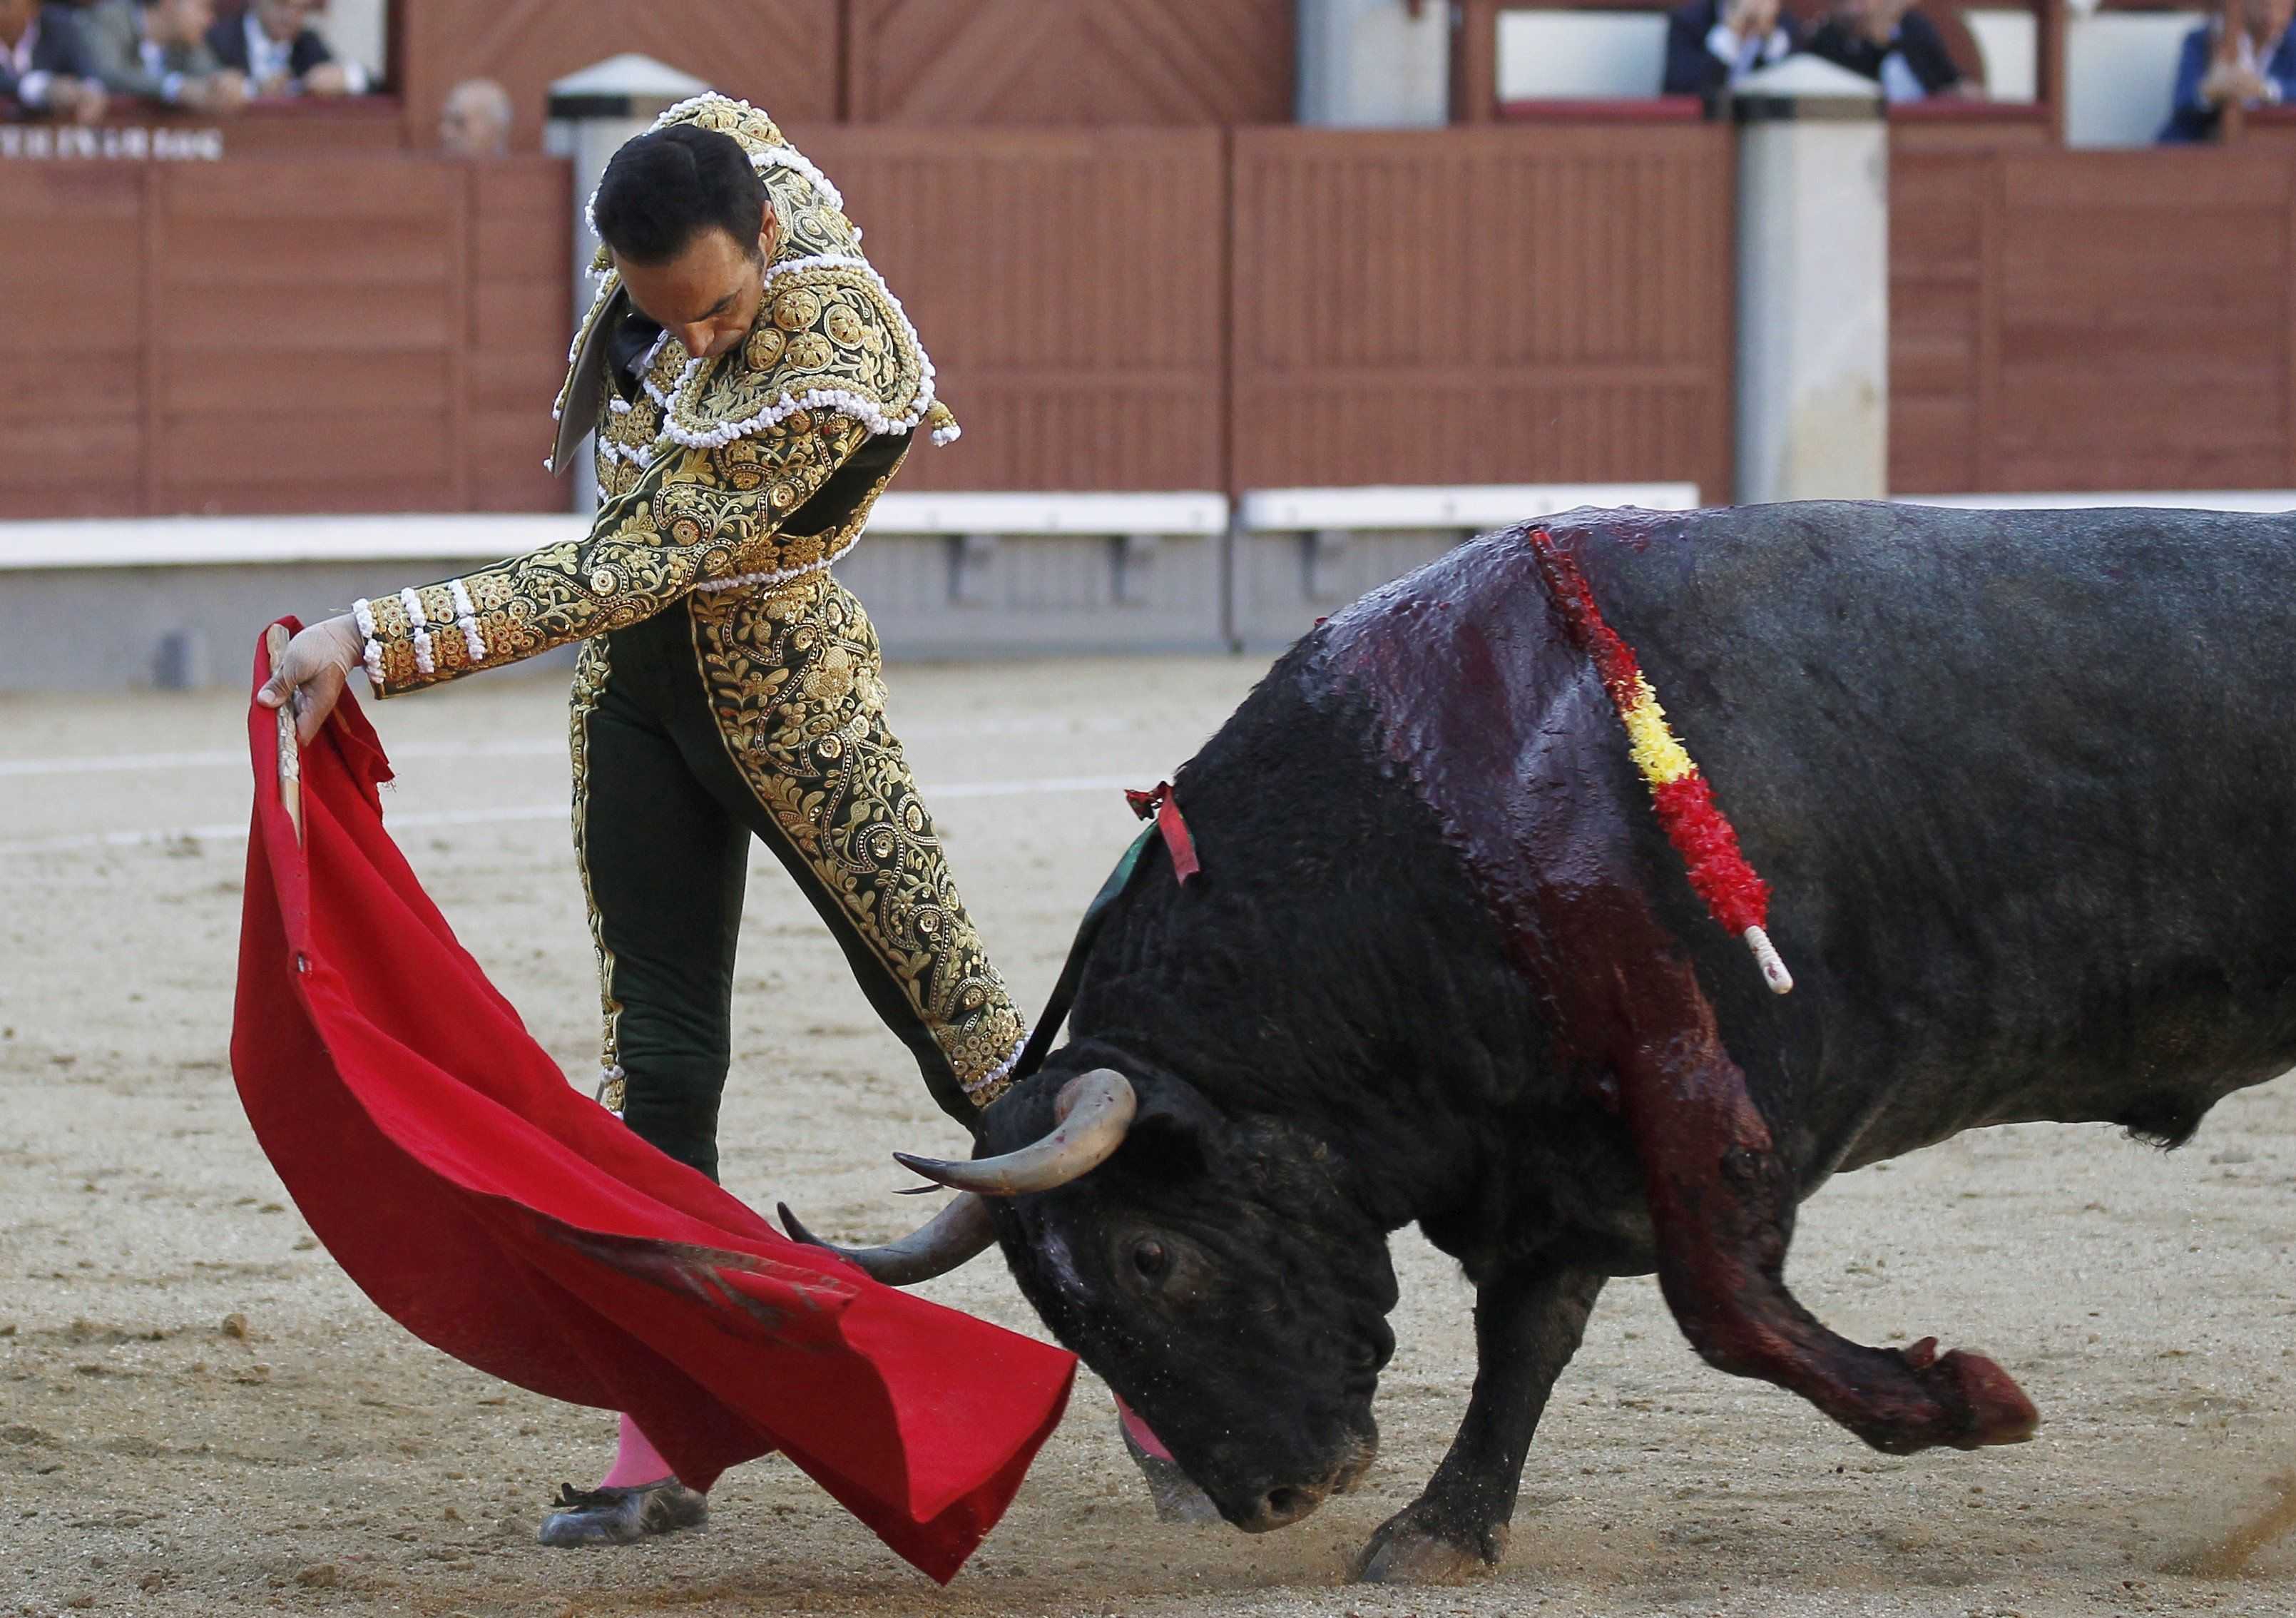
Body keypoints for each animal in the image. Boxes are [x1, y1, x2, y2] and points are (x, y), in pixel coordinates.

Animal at [780, 502, 2287, 1579]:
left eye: (1149, 1256)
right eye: (1056, 1310)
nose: (1269, 1497)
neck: (1420, 830)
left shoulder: (1687, 1087)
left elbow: (1720, 1307)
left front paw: (1967, 1400)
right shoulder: (1549, 1154)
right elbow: (1525, 1340)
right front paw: (1439, 1531)